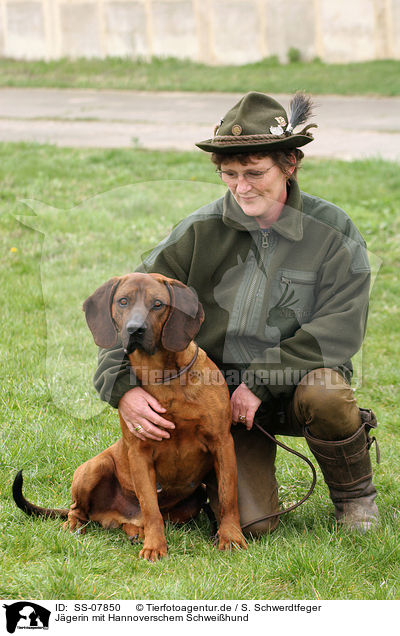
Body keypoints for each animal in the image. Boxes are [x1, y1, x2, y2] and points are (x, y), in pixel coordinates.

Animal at [12, 270, 245, 560]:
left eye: (157, 304)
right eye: (123, 301)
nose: (135, 329)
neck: (163, 376)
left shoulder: (222, 443)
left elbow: (228, 498)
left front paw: (231, 537)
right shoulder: (139, 453)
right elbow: (150, 508)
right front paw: (155, 546)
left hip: (192, 501)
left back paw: (135, 531)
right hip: (93, 468)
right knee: (81, 511)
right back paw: (78, 528)